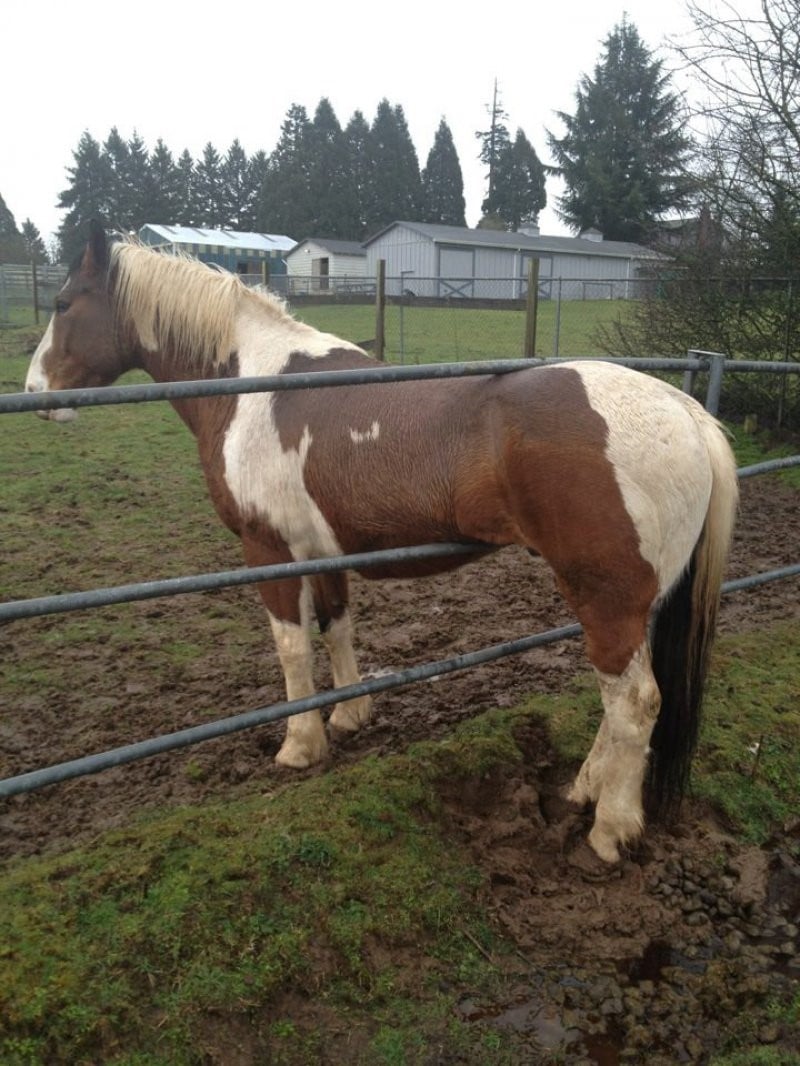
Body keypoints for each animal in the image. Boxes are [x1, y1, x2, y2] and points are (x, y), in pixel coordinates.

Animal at [23, 224, 738, 865]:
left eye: (63, 303)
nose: (34, 395)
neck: (251, 383)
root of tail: (686, 413)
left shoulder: (267, 550)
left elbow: (291, 646)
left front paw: (300, 745)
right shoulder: (324, 549)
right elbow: (337, 627)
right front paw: (349, 717)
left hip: (606, 597)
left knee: (634, 703)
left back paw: (610, 830)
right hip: (631, 602)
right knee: (618, 703)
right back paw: (584, 789)